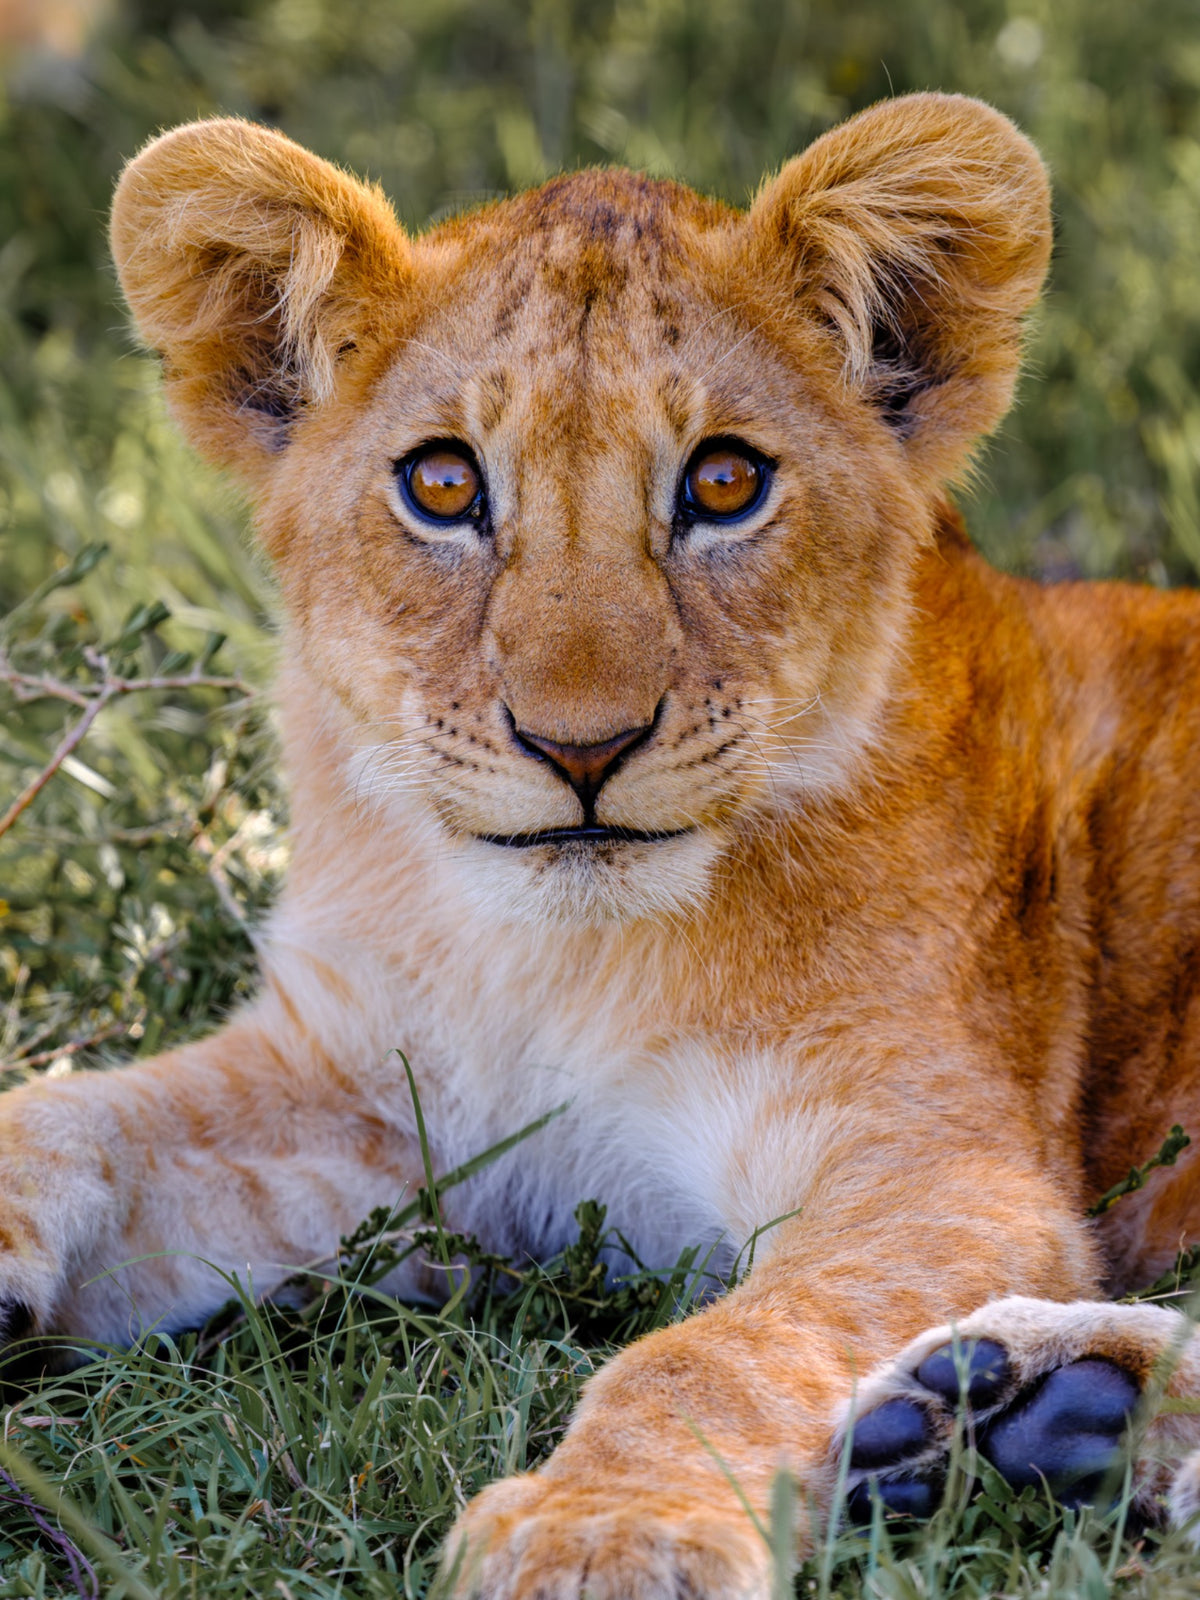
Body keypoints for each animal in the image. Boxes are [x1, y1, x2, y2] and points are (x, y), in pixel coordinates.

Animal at [2, 89, 1200, 1597]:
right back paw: (1025, 1416)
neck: (549, 961)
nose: (581, 748)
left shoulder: (942, 1167)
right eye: (443, 484)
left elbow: (715, 1352)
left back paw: (1031, 1414)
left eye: (726, 483)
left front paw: (601, 1532)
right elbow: (72, 1108)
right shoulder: (357, 1102)